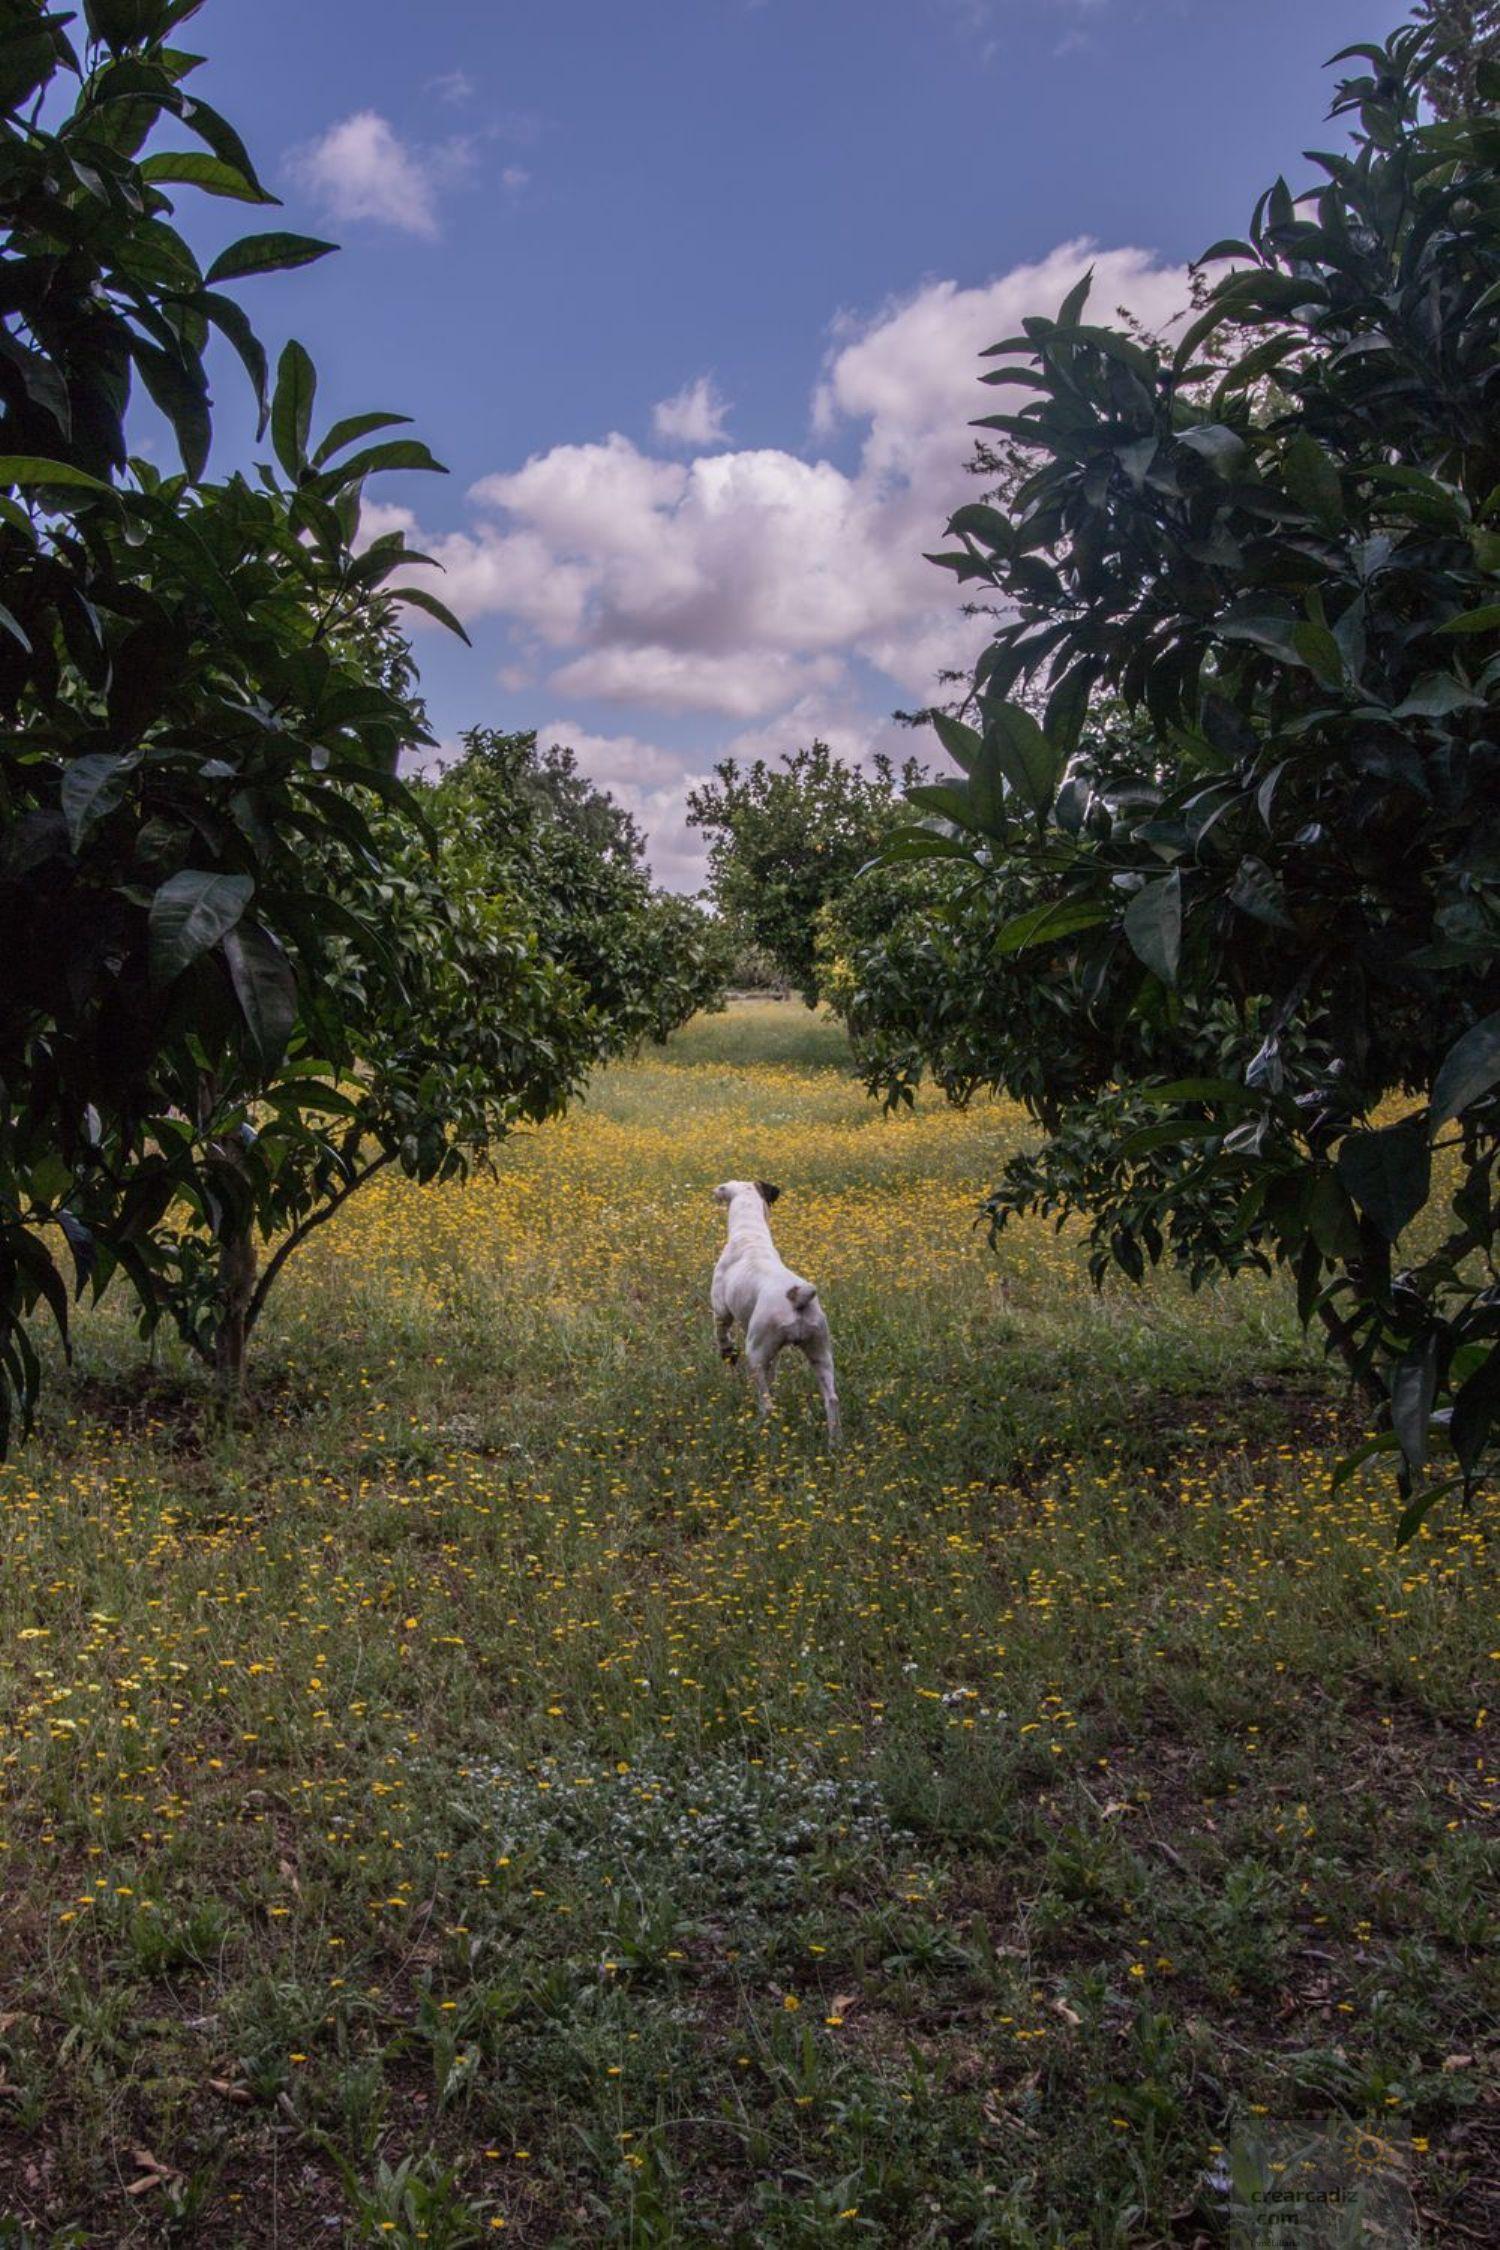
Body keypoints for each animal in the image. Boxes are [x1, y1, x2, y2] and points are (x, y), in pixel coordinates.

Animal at [710, 1179, 841, 1440]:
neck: (749, 1235)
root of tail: (798, 1296)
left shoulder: (721, 1313)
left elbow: (723, 1338)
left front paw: (728, 1353)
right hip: (820, 1353)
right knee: (831, 1399)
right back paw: (835, 1443)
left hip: (755, 1354)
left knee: (767, 1403)